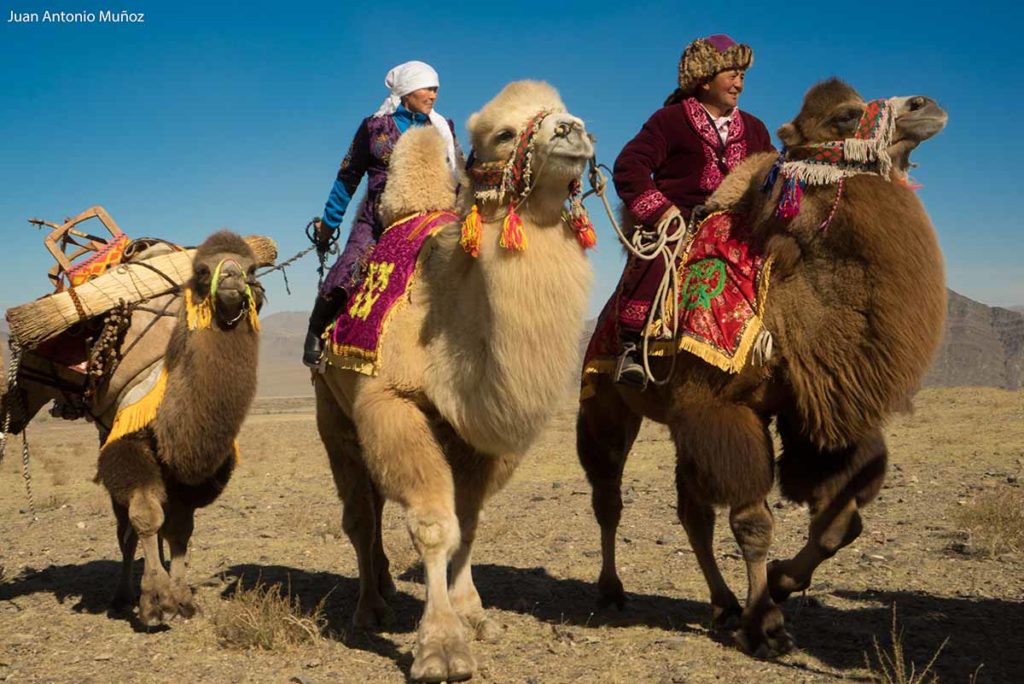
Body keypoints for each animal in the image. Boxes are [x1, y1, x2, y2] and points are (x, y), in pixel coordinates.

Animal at [95, 231, 264, 626]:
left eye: (251, 268)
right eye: (202, 271)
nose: (232, 279)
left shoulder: (194, 481)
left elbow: (180, 530)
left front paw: (183, 598)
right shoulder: (127, 446)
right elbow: (145, 517)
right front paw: (156, 602)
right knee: (125, 529)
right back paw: (122, 595)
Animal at [315, 81, 598, 684]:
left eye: (567, 110)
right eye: (504, 134)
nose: (571, 129)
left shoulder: (479, 432)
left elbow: (468, 521)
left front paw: (474, 615)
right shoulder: (390, 403)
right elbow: (433, 524)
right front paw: (442, 648)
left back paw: (384, 589)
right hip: (332, 413)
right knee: (359, 514)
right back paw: (368, 608)